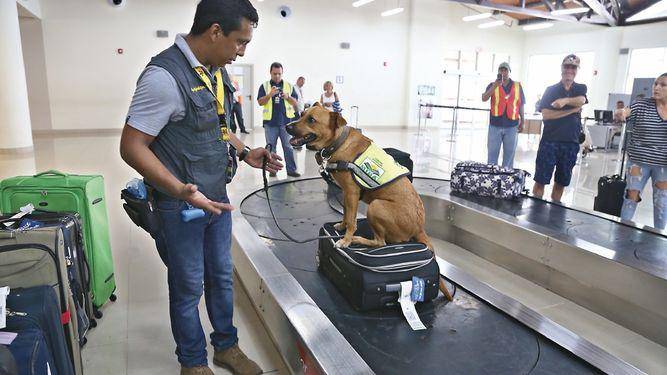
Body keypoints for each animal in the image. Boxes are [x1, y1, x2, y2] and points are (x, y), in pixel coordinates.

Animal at [288, 103, 454, 302]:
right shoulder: (346, 193)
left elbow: (352, 221)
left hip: (376, 205)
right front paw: (341, 226)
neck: (338, 142)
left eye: (311, 120)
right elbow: (346, 214)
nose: (287, 126)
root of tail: (419, 228)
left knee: (380, 243)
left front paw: (346, 240)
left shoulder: (351, 192)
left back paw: (358, 239)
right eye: (302, 114)